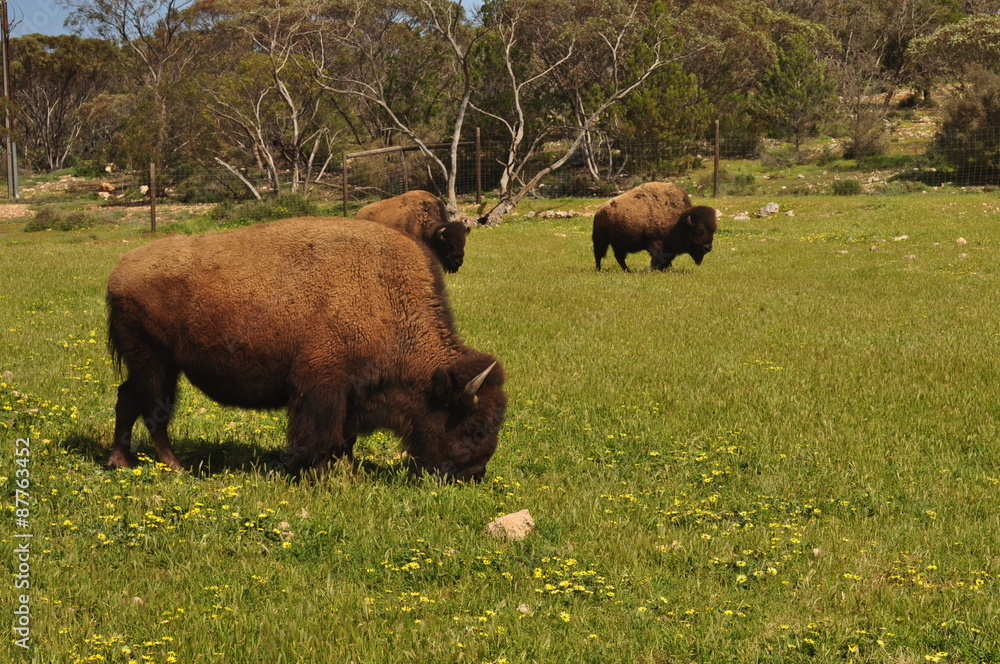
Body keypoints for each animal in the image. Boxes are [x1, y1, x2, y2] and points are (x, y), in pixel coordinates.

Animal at [107, 218, 508, 482]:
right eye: (475, 426)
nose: (474, 474)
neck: (387, 298)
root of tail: (119, 271)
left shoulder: (350, 394)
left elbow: (344, 437)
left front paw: (347, 471)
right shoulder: (323, 386)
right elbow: (320, 434)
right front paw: (319, 474)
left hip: (155, 364)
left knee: (128, 399)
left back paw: (121, 461)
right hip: (153, 360)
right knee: (153, 411)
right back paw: (175, 467)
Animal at [588, 180, 716, 272]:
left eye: (713, 231)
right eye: (700, 230)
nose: (708, 248)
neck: (679, 220)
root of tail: (600, 210)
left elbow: (667, 257)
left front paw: (665, 268)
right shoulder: (656, 242)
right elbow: (658, 256)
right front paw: (655, 269)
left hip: (618, 243)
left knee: (619, 257)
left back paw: (627, 270)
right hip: (601, 240)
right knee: (599, 254)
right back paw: (599, 269)